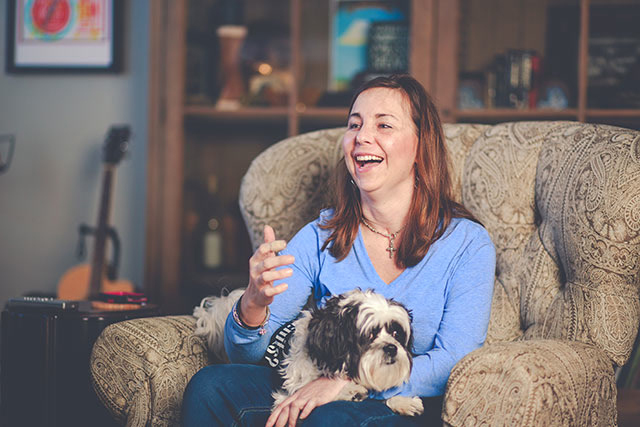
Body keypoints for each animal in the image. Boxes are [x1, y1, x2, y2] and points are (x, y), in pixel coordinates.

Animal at [195, 286, 424, 416]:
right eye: (369, 335)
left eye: (395, 333)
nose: (391, 348)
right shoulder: (289, 391)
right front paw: (348, 391)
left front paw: (402, 401)